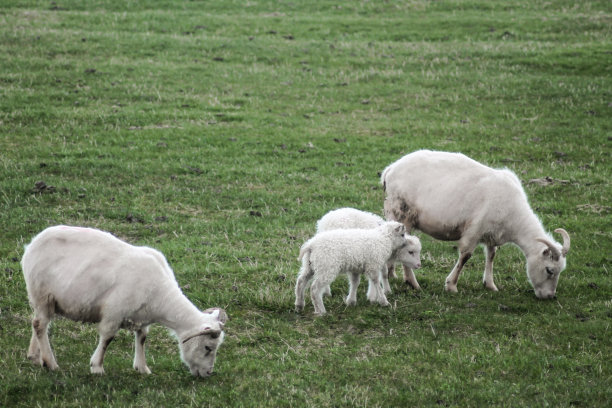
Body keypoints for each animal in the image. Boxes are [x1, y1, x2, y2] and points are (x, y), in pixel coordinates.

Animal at [21, 225, 228, 378]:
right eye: (208, 347)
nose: (208, 373)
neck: (161, 296)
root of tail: (32, 244)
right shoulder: (114, 312)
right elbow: (107, 338)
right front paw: (97, 367)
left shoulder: (142, 316)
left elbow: (142, 338)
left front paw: (142, 368)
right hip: (43, 294)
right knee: (40, 325)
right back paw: (51, 363)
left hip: (44, 301)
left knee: (37, 324)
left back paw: (35, 357)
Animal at [380, 151, 572, 300]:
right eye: (549, 270)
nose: (550, 296)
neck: (515, 219)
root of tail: (389, 170)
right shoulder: (474, 229)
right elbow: (465, 256)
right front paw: (451, 285)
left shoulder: (492, 233)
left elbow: (491, 255)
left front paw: (490, 284)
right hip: (401, 213)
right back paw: (412, 282)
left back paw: (393, 273)